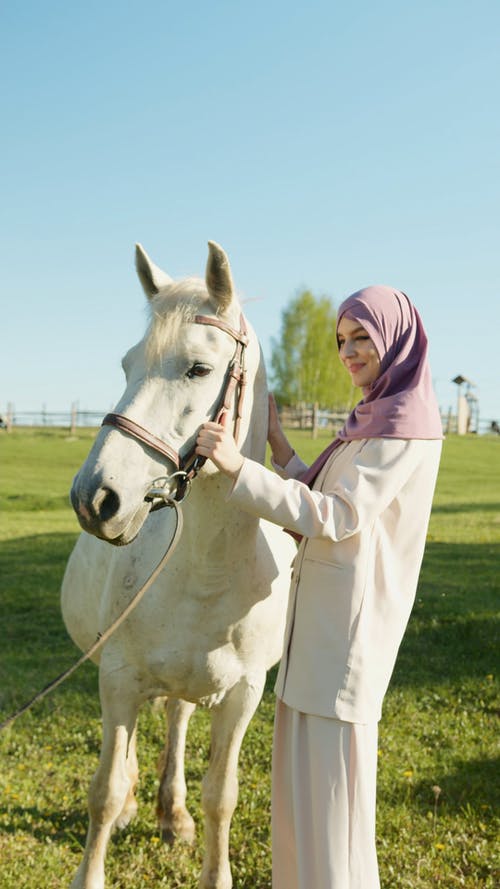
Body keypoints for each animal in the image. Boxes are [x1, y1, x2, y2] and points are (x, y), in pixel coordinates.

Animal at [62, 239, 296, 884]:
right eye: (126, 365)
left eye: (198, 368)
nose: (95, 498)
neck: (209, 572)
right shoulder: (117, 678)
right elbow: (103, 791)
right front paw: (102, 845)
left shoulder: (242, 696)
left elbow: (223, 796)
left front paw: (210, 861)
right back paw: (140, 801)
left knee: (174, 718)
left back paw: (173, 812)